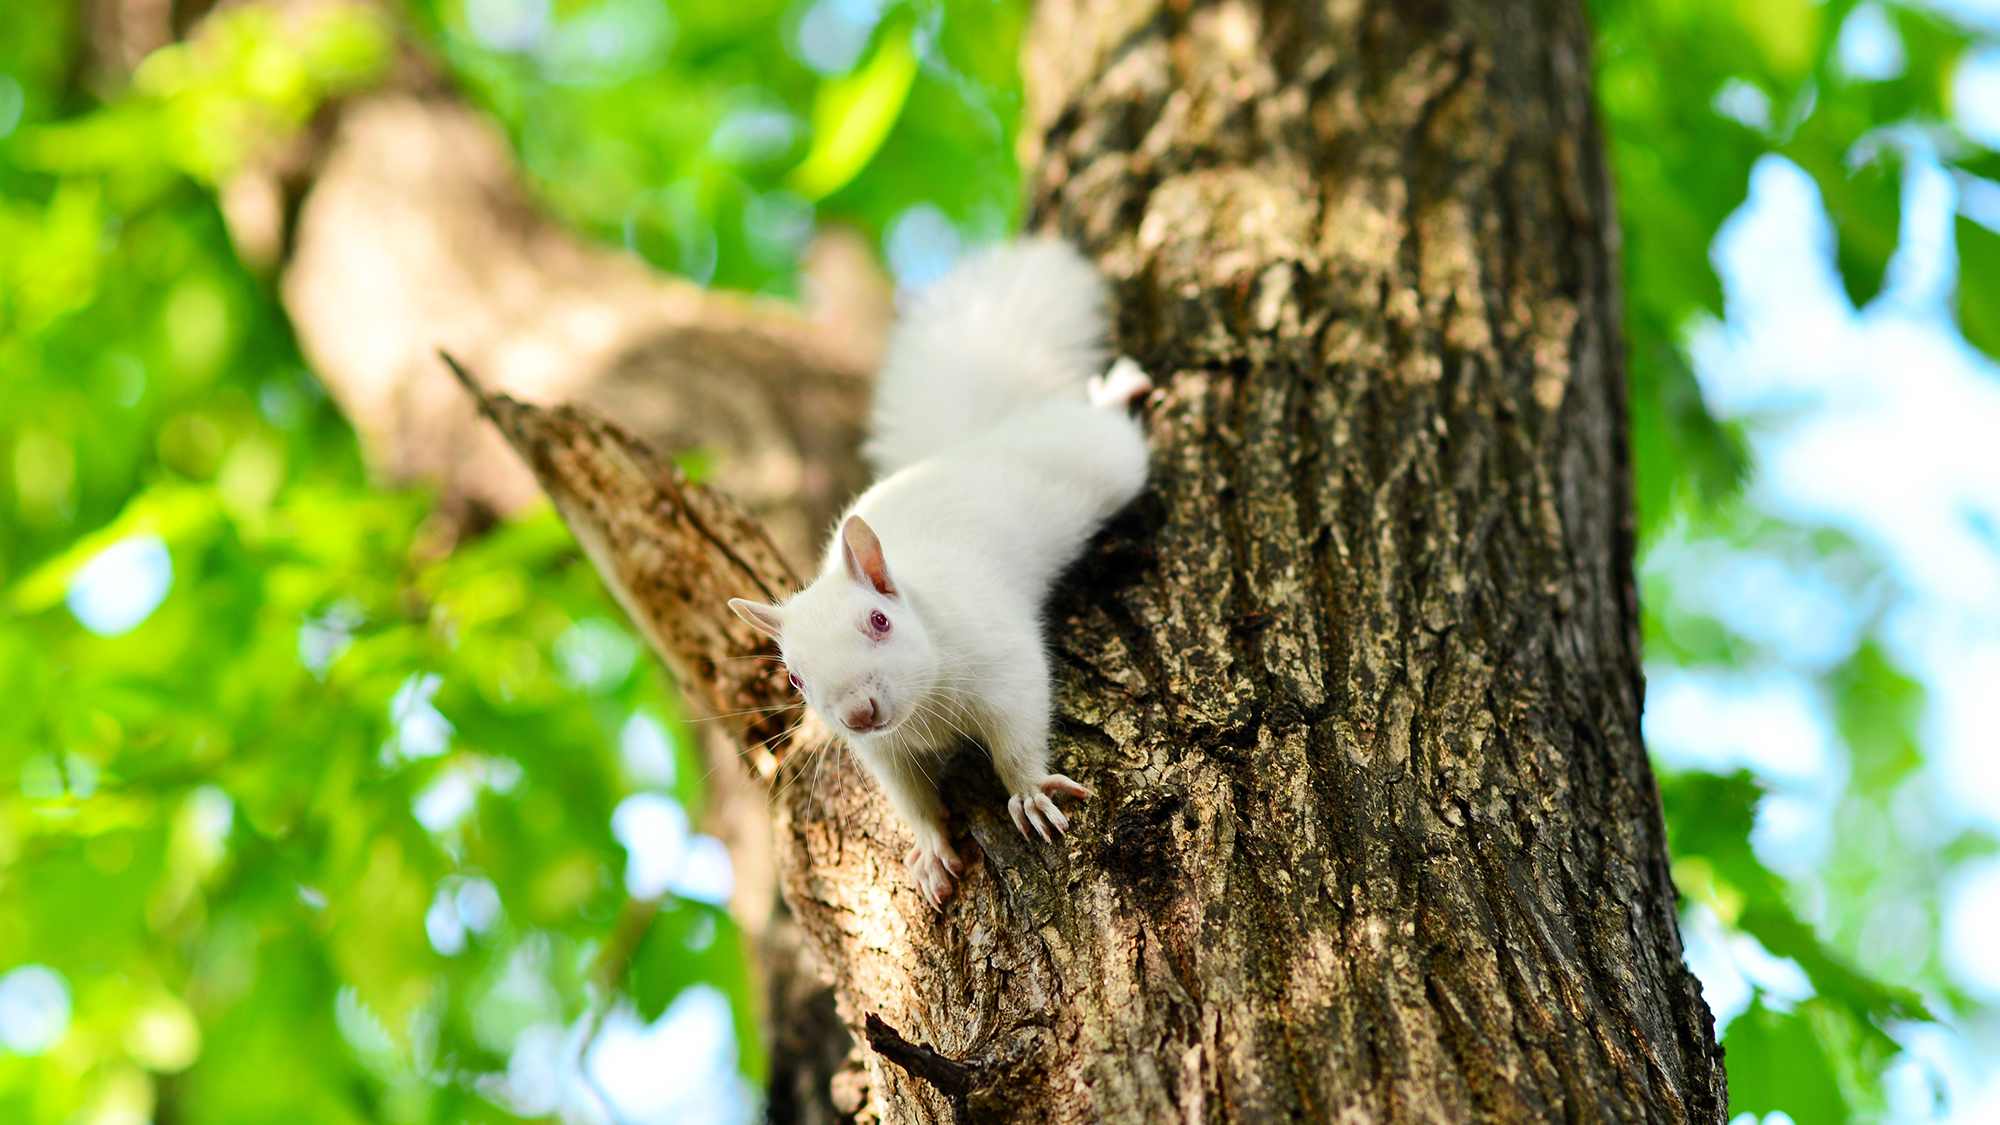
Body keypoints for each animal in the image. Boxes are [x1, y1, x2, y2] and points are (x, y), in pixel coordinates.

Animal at [728, 238, 1153, 905]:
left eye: (879, 621)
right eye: (793, 679)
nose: (858, 713)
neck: (922, 707)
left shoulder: (1004, 663)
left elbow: (1019, 730)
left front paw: (1029, 793)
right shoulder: (884, 753)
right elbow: (912, 798)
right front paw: (930, 849)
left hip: (1102, 459)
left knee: (1106, 424)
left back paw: (1118, 386)